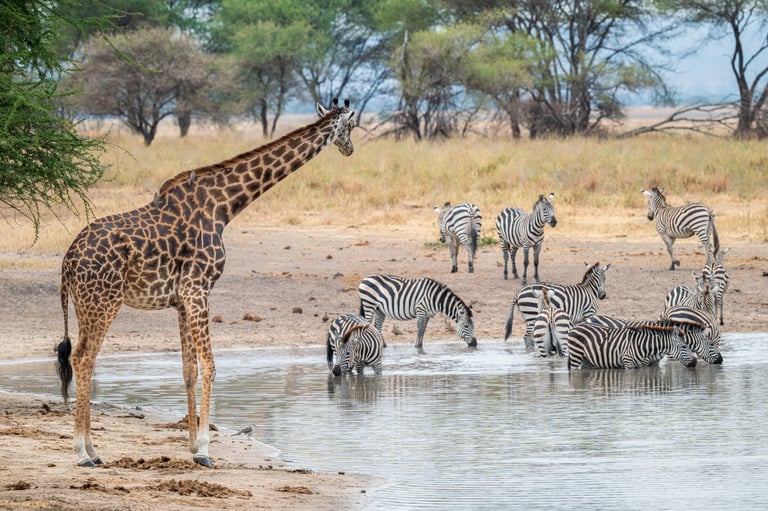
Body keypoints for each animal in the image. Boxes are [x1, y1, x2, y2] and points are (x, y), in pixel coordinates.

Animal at [55, 99, 356, 468]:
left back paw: (94, 451)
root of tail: (68, 262)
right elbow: (211, 366)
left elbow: (189, 369)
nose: (350, 149)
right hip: (103, 302)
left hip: (85, 305)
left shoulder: (181, 300)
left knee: (84, 359)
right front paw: (204, 450)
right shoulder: (199, 289)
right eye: (351, 126)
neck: (222, 208)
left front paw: (190, 445)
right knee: (83, 358)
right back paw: (83, 452)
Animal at [566, 323, 697, 370]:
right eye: (684, 346)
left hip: (587, 359)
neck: (643, 345)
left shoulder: (639, 365)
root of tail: (576, 326)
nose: (695, 363)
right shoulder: (628, 363)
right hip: (576, 355)